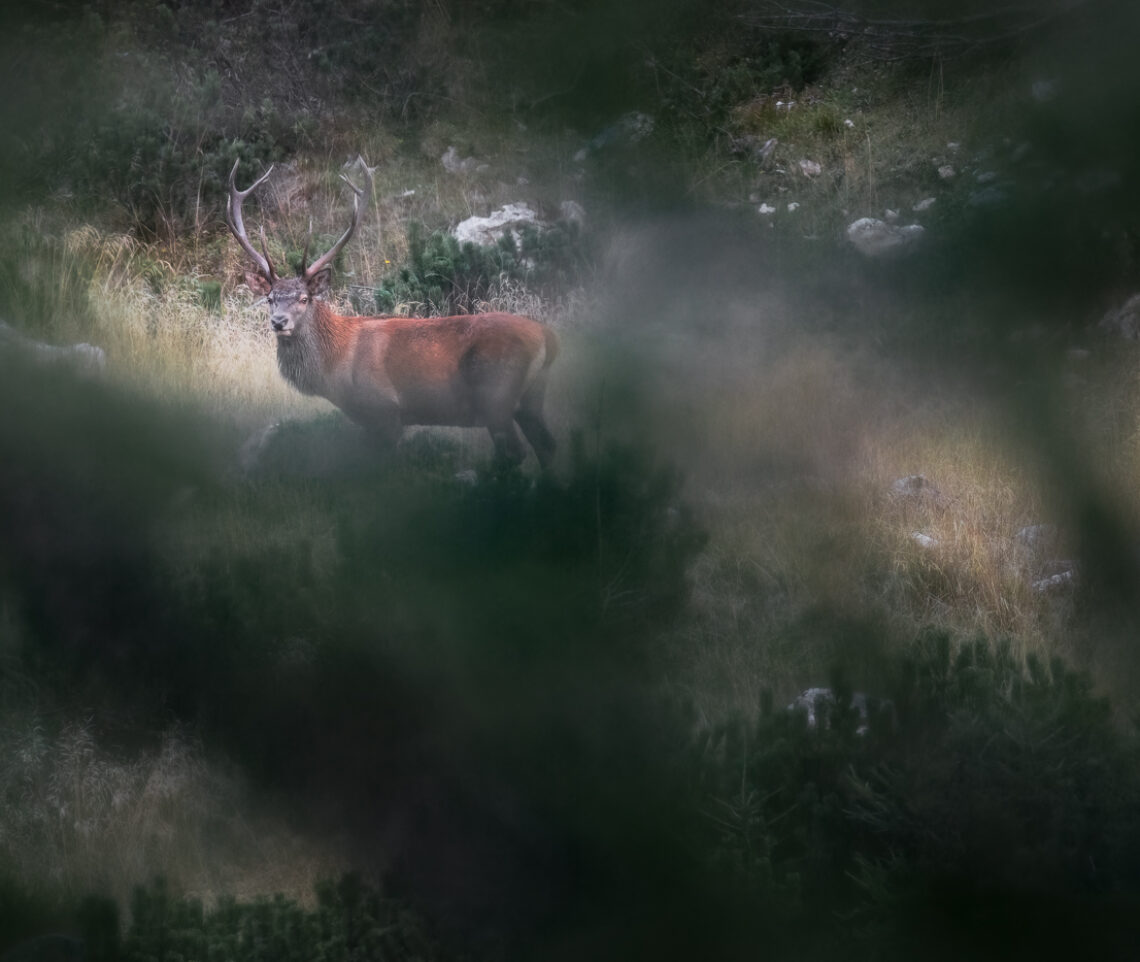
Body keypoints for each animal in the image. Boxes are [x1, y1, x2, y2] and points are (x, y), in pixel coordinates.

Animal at [224, 157, 558, 469]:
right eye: (269, 298)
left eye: (304, 298)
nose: (279, 322)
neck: (336, 367)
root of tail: (546, 336)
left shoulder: (384, 410)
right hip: (531, 398)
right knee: (546, 446)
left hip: (496, 395)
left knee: (515, 451)